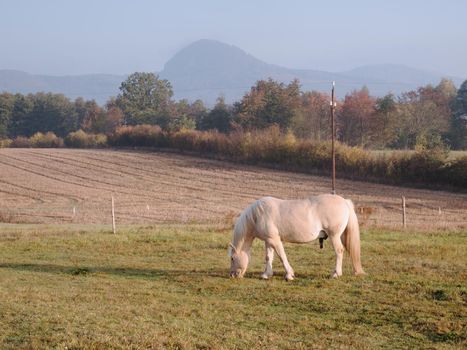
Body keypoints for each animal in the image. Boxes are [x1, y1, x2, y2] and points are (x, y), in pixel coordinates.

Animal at [229, 193, 366, 280]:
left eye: (232, 258)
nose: (232, 275)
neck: (257, 215)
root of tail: (344, 201)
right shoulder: (268, 241)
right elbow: (269, 257)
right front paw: (266, 274)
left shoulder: (275, 240)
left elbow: (282, 256)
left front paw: (289, 275)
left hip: (334, 236)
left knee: (339, 251)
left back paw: (336, 274)